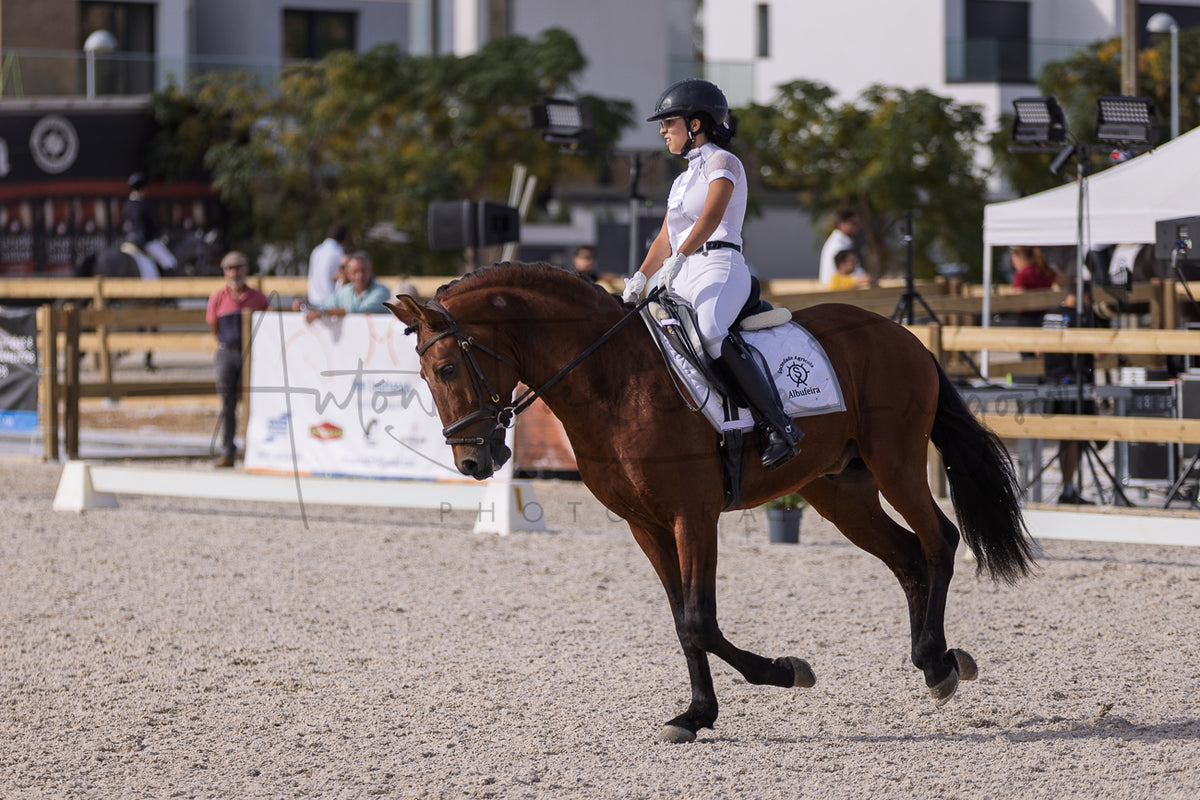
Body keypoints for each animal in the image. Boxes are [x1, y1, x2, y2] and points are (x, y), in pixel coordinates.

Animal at [386, 261, 1033, 743]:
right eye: (426, 375)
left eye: (448, 366)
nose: (473, 463)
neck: (614, 380)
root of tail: (903, 336)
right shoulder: (646, 525)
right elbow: (683, 623)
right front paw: (697, 715)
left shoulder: (691, 516)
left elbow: (700, 619)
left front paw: (781, 672)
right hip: (840, 489)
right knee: (906, 556)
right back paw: (936, 659)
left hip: (894, 462)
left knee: (939, 539)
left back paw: (938, 664)